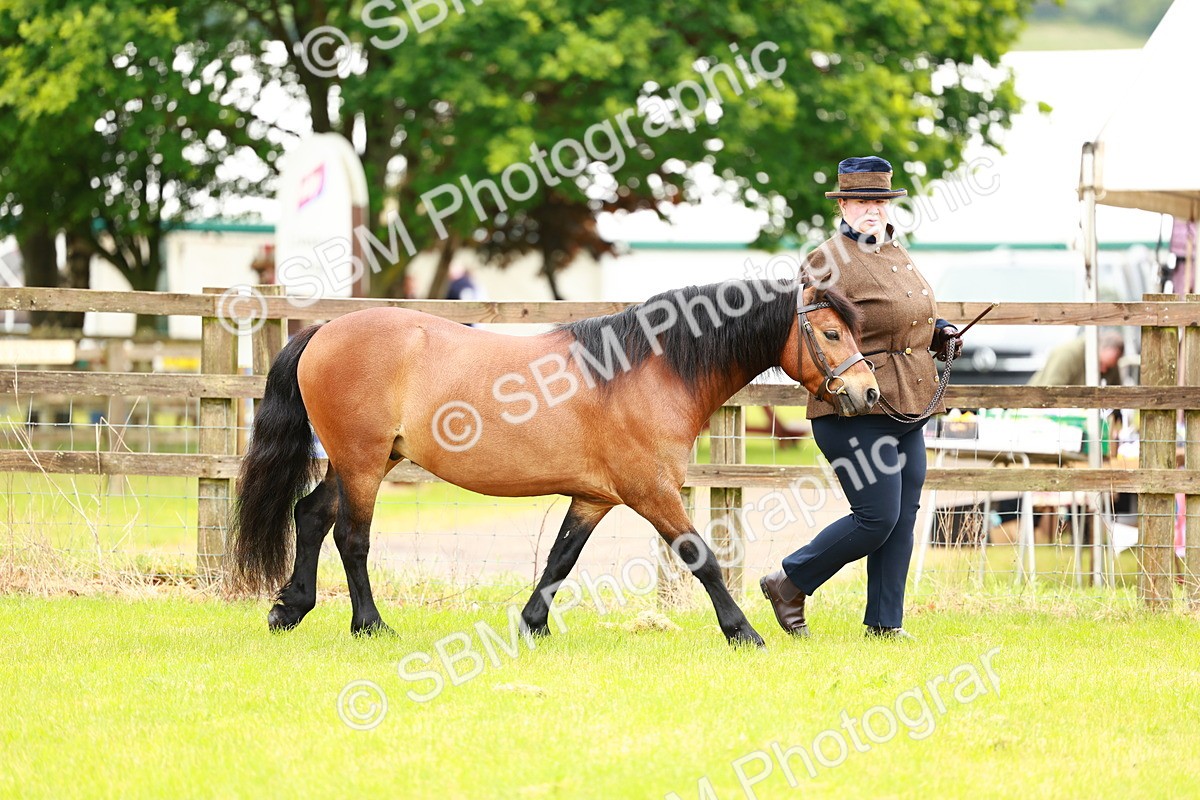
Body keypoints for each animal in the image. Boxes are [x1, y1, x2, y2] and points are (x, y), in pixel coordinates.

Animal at [229, 278, 879, 647]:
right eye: (830, 333)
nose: (869, 392)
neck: (646, 371)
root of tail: (324, 329)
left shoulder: (595, 497)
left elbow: (560, 560)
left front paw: (530, 625)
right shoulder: (652, 492)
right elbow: (704, 559)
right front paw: (742, 631)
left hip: (361, 460)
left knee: (312, 516)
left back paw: (290, 608)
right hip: (362, 462)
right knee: (351, 536)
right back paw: (369, 624)